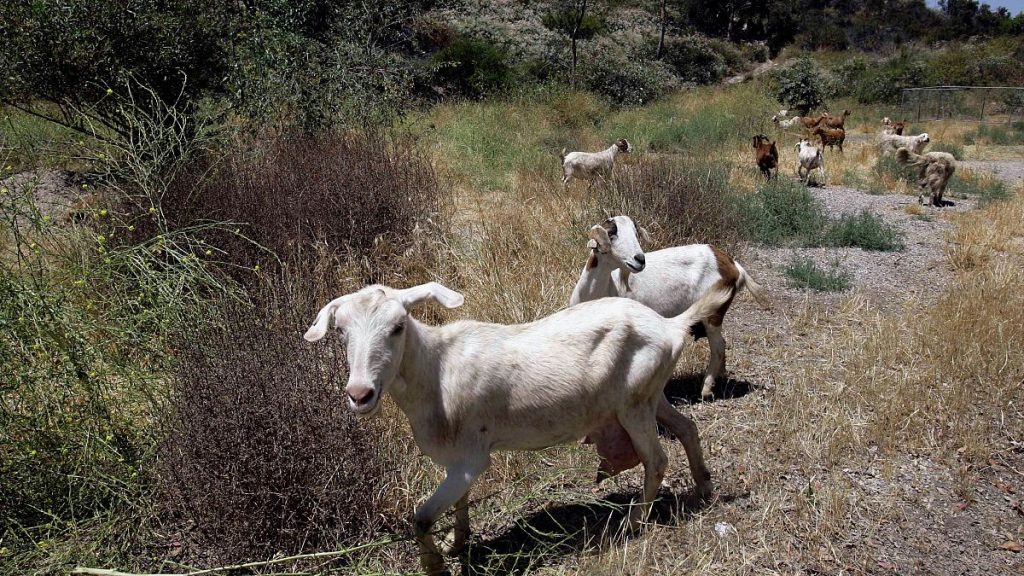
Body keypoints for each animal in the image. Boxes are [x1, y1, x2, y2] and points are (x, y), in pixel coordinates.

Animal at [304, 281, 731, 575]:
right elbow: (459, 501)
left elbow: (421, 516)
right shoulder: (459, 460)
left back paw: (633, 523)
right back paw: (704, 487)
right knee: (688, 428)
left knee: (656, 460)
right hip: (651, 395)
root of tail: (671, 326)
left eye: (397, 326)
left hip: (635, 403)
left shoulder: (471, 457)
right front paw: (456, 543)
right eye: (341, 331)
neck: (435, 370)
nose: (360, 394)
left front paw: (434, 565)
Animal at [570, 216, 769, 400]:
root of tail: (733, 265)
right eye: (612, 233)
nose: (640, 259)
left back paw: (706, 389)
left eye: (635, 234)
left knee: (718, 347)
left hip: (713, 313)